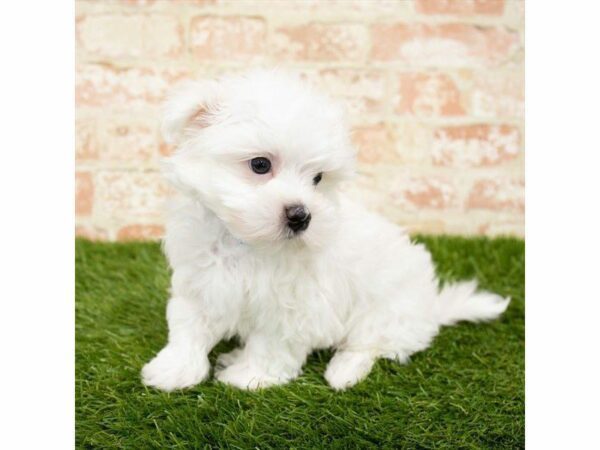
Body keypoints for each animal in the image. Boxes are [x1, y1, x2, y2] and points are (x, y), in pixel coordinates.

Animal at [142, 69, 510, 390]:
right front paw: (175, 370)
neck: (248, 243)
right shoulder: (200, 283)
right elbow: (188, 328)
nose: (300, 216)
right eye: (260, 164)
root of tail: (432, 309)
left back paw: (343, 372)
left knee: (372, 344)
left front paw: (250, 377)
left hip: (387, 310)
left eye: (318, 178)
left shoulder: (293, 308)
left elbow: (271, 346)